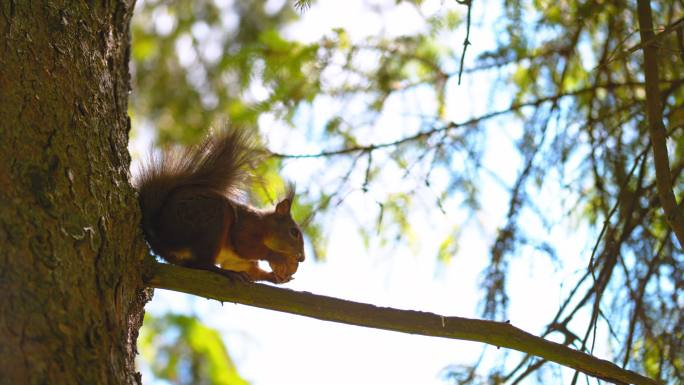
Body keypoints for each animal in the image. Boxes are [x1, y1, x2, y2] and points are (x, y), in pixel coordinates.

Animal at [134, 127, 304, 282]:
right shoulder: (247, 226)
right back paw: (222, 271)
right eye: (294, 232)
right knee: (200, 263)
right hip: (211, 220)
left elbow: (248, 269)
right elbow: (245, 245)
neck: (265, 226)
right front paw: (279, 257)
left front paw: (275, 277)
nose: (302, 258)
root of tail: (159, 233)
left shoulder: (238, 260)